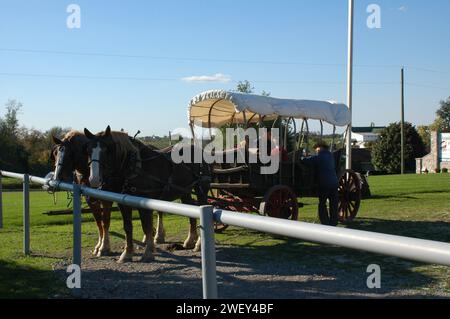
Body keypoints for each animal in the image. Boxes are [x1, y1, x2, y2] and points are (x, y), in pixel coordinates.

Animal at [83, 126, 210, 264]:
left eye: (106, 150)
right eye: (88, 150)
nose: (94, 180)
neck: (134, 166)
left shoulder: (144, 201)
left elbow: (146, 226)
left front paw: (148, 252)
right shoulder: (123, 203)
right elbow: (127, 227)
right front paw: (127, 253)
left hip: (201, 190)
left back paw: (199, 244)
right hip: (184, 191)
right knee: (191, 212)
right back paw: (189, 241)